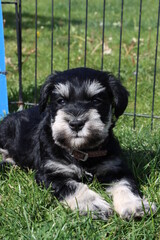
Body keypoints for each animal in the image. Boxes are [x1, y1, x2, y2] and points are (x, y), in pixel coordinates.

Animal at [0, 67, 156, 219]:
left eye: (96, 100)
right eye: (61, 101)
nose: (76, 124)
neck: (82, 150)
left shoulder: (115, 169)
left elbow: (124, 185)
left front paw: (134, 206)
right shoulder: (51, 173)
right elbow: (73, 186)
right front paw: (93, 205)